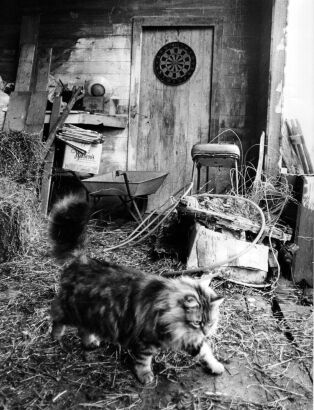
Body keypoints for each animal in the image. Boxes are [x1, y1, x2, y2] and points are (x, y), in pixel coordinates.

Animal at [49, 195, 224, 384]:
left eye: (210, 322)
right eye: (197, 322)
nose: (206, 332)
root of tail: (82, 259)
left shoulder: (187, 337)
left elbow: (205, 351)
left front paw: (216, 365)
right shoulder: (145, 340)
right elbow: (143, 361)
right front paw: (145, 376)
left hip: (92, 313)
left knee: (83, 328)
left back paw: (90, 342)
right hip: (72, 309)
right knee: (56, 316)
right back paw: (55, 336)